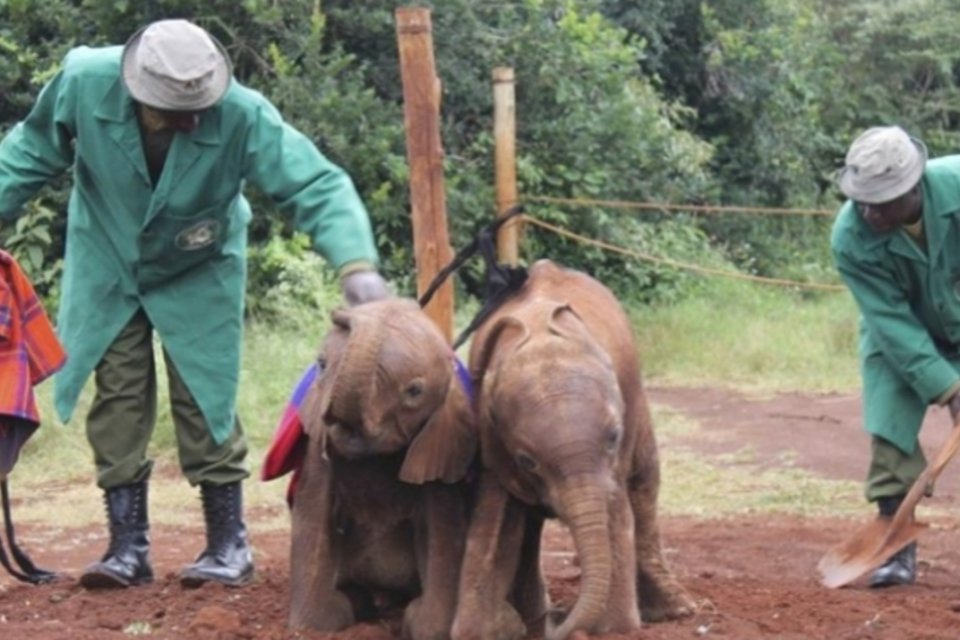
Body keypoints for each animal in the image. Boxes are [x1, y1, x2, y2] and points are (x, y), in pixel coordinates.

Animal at [284, 298, 480, 640]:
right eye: (321, 365)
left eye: (414, 391)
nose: (340, 311)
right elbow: (313, 512)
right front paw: (313, 625)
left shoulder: (442, 446)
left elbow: (443, 528)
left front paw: (423, 623)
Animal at [454, 258, 692, 640]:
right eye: (527, 461)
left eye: (613, 437)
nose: (558, 622)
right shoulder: (493, 442)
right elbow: (494, 521)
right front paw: (478, 630)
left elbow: (615, 511)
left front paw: (615, 628)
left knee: (645, 483)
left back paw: (676, 610)